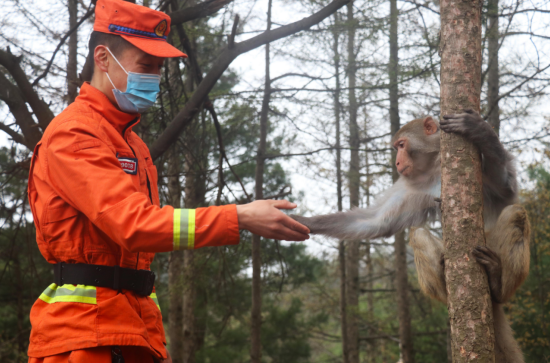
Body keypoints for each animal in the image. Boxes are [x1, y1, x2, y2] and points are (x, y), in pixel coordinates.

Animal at [296, 111, 532, 363]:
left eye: (401, 145)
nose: (397, 162)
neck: (437, 164)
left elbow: (506, 188)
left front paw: (481, 131)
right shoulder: (414, 183)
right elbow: (375, 221)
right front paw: (300, 221)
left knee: (515, 213)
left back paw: (497, 282)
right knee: (417, 233)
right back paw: (447, 282)